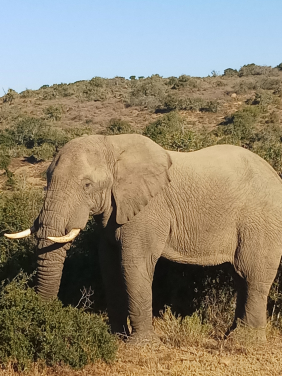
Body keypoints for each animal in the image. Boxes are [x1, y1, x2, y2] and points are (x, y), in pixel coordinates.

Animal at [4, 134, 282, 340]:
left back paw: (244, 342)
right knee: (240, 278)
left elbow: (133, 264)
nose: (43, 315)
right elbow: (109, 266)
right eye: (47, 181)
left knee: (252, 275)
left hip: (262, 221)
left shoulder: (148, 211)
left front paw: (141, 345)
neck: (112, 145)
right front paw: (116, 337)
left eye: (87, 185)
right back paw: (232, 335)